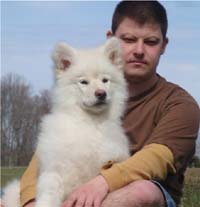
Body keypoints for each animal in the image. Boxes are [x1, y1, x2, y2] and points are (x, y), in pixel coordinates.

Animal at [1, 37, 130, 207]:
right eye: (83, 82)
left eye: (105, 80)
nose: (101, 94)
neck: (88, 123)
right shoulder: (54, 170)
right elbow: (49, 194)